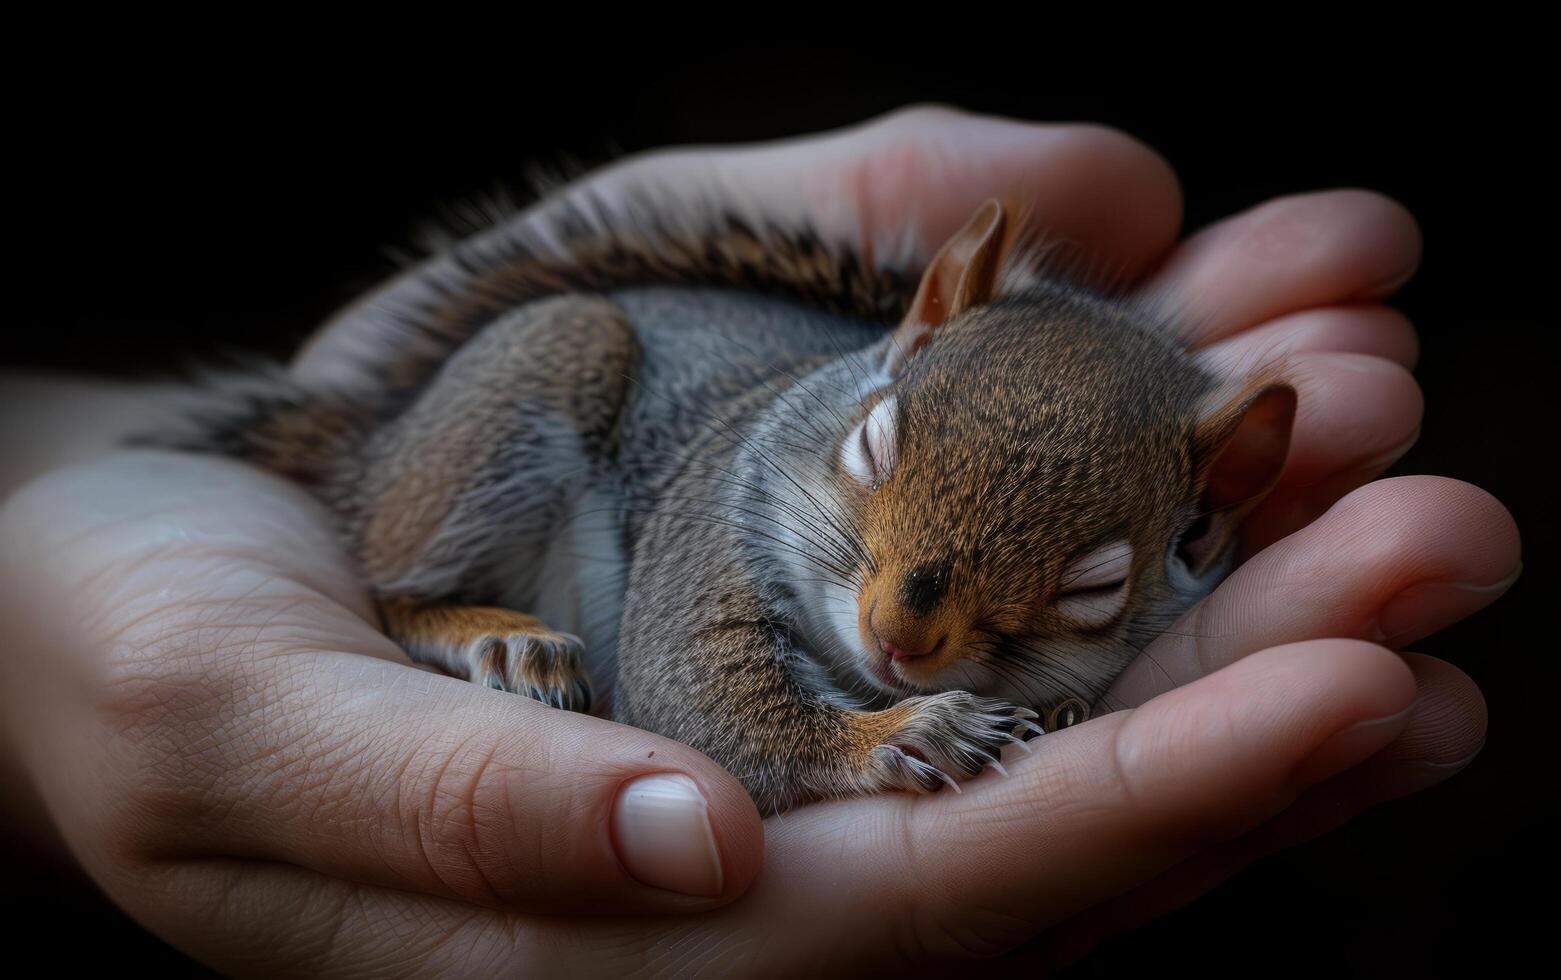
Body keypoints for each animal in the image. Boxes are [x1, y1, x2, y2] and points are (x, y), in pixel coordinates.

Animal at [149, 177, 1292, 811]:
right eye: (874, 439)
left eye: (1095, 585)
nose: (900, 635)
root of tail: (381, 444)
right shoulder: (706, 537)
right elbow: (704, 694)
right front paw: (911, 736)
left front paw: (1045, 711)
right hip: (528, 383)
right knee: (392, 582)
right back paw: (501, 634)